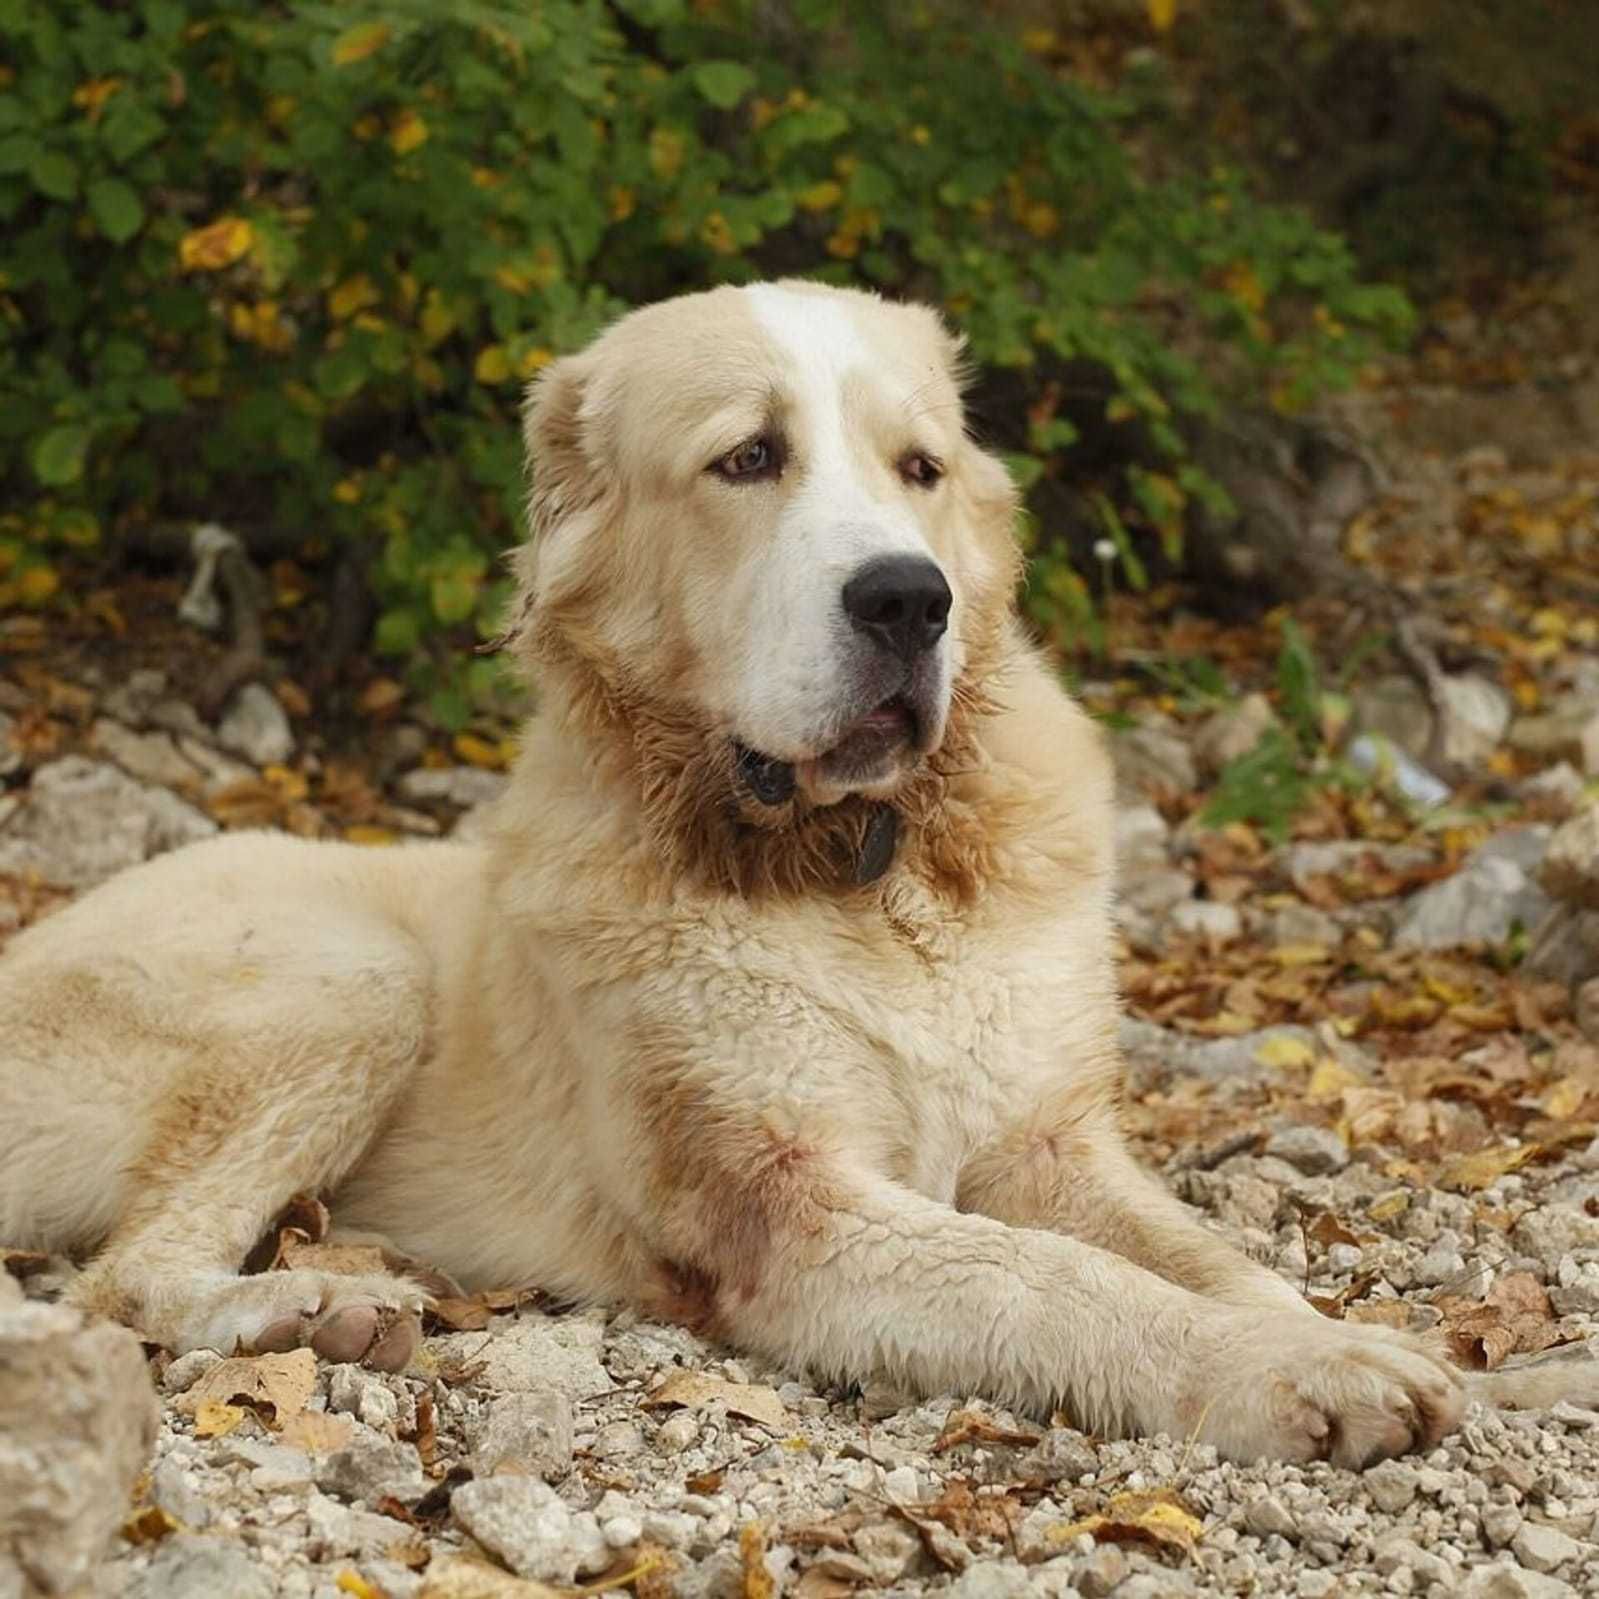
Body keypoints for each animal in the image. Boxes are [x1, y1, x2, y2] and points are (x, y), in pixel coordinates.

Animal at [0, 278, 1509, 1464]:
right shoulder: (784, 1203)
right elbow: (1054, 1277)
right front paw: (1287, 1376)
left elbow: (1203, 1253)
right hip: (352, 979)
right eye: (749, 460)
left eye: (920, 469)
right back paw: (301, 1309)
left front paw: (1339, 1337)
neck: (865, 868)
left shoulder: (1046, 1143)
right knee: (120, 1281)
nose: (908, 599)